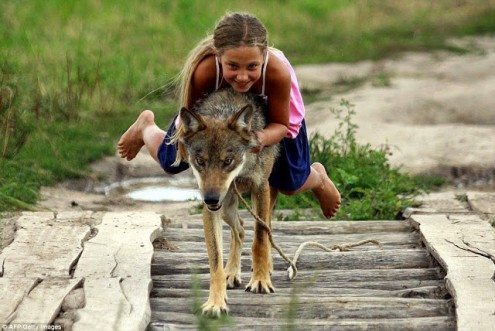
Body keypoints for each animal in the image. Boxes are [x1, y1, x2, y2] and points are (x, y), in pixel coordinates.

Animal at [178, 87, 280, 316]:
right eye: (201, 161)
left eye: (227, 161)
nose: (210, 198)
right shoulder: (211, 209)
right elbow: (215, 261)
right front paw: (216, 303)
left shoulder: (260, 187)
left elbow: (260, 239)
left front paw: (260, 281)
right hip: (226, 207)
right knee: (240, 229)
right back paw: (232, 273)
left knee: (265, 227)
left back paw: (265, 267)